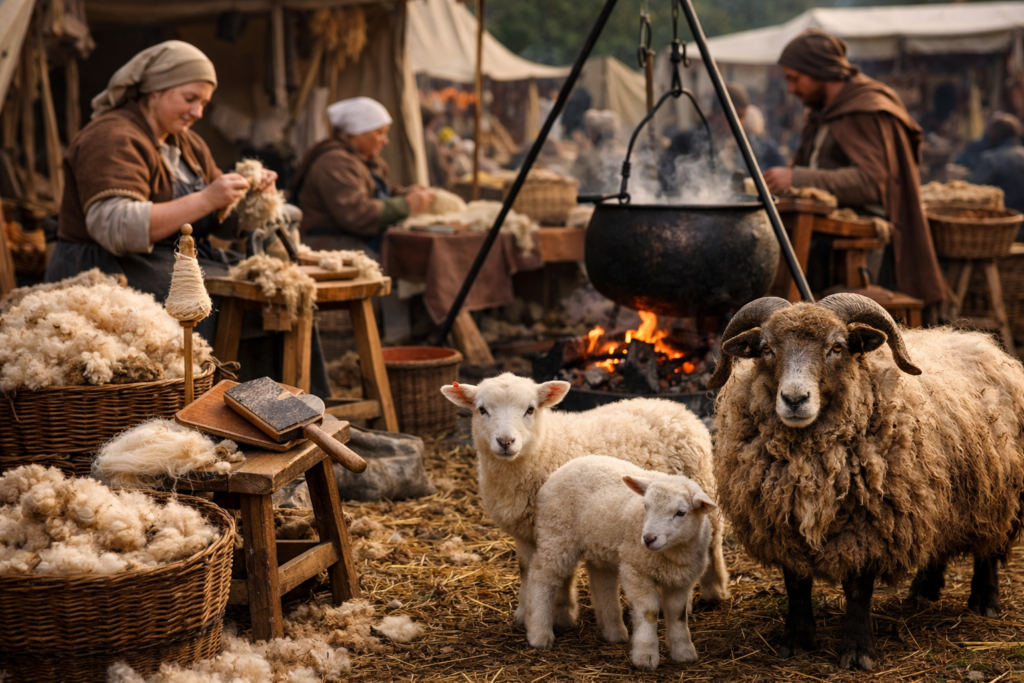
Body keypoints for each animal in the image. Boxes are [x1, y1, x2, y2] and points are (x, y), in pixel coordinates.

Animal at [440, 373, 728, 629]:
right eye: (482, 410)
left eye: (530, 409)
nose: (505, 441)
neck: (545, 447)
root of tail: (677, 406)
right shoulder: (524, 532)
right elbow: (525, 570)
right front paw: (525, 613)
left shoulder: (561, 524)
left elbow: (563, 575)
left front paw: (562, 614)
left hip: (702, 482)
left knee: (713, 542)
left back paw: (715, 590)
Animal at [524, 456, 715, 670]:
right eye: (645, 506)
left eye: (681, 513)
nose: (648, 538)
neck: (673, 553)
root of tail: (568, 464)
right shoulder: (636, 569)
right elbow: (649, 611)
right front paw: (645, 656)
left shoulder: (681, 580)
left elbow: (678, 613)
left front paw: (684, 652)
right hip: (556, 535)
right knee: (540, 578)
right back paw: (539, 633)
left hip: (598, 545)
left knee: (602, 584)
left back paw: (613, 632)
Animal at [707, 293, 1024, 670]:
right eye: (766, 349)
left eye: (837, 347)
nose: (795, 400)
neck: (810, 458)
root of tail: (979, 340)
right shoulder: (783, 524)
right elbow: (796, 585)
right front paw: (796, 643)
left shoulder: (870, 525)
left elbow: (858, 589)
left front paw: (858, 652)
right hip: (939, 496)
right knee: (938, 541)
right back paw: (924, 591)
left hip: (997, 492)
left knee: (989, 548)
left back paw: (985, 601)